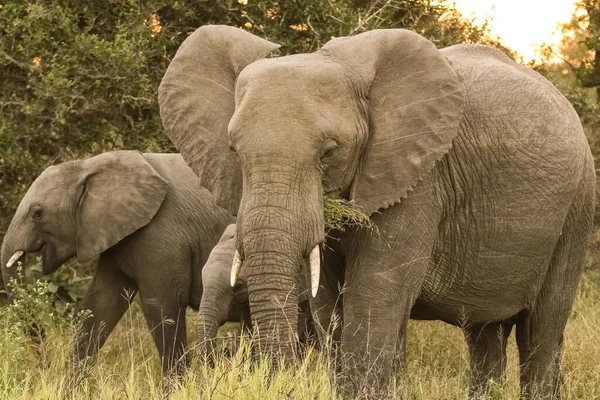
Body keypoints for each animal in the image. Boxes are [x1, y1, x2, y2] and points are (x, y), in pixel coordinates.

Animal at [0, 150, 232, 376]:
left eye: (37, 214)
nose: (44, 365)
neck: (88, 166)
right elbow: (102, 303)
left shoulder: (162, 233)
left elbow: (163, 305)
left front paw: (178, 385)